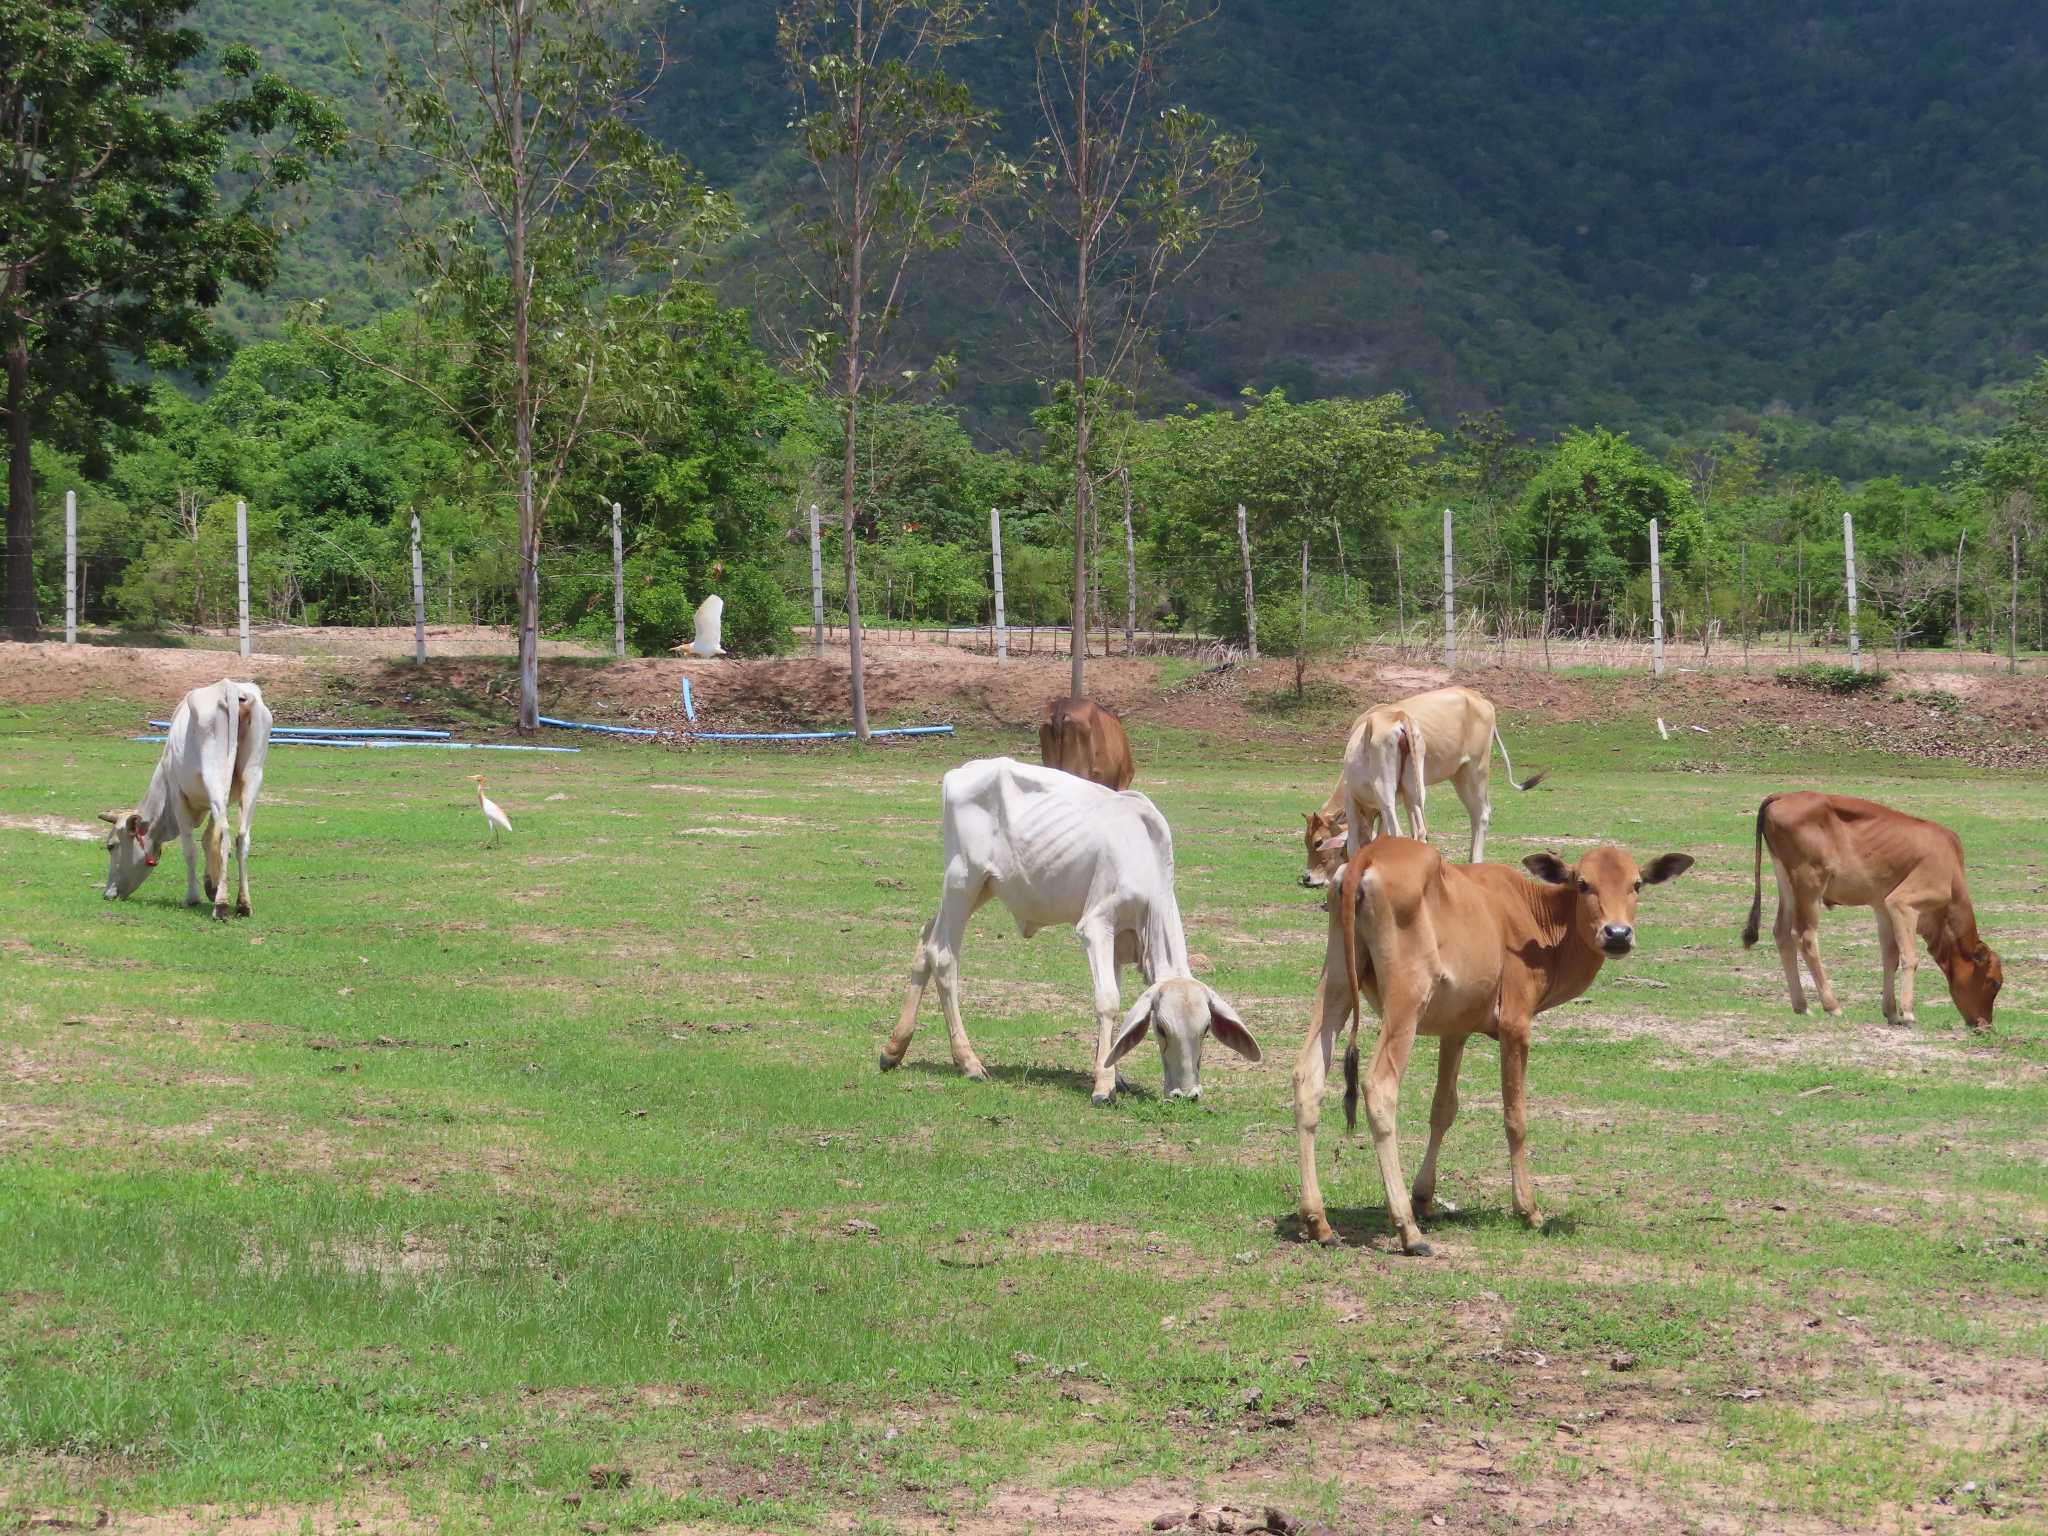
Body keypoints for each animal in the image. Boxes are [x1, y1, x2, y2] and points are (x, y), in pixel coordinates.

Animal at [100, 679, 272, 921]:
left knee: (226, 836)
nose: (108, 894)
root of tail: (230, 688)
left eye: (111, 846)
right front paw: (212, 885)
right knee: (241, 837)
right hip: (253, 776)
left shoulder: (178, 797)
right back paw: (243, 904)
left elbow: (190, 848)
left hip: (215, 775)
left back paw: (221, 906)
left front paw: (193, 897)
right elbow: (209, 839)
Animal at [876, 761, 1253, 1105]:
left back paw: (894, 1048)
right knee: (942, 955)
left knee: (926, 937)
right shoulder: (1096, 925)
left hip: (983, 887)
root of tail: (960, 771)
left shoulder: (1118, 943)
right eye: (1161, 1029)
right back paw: (968, 1062)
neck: (1142, 855)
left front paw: (1115, 1074)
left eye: (1206, 1030)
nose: (1185, 1094)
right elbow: (1107, 1000)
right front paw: (1103, 1085)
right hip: (962, 879)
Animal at [1294, 843, 1695, 1253]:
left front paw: (1424, 1197)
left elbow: (1443, 1108)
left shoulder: (1455, 1029)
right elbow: (1515, 1117)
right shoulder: (1515, 1025)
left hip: (1337, 984)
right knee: (1379, 1087)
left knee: (1308, 1076)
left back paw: (1318, 1221)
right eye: (1583, 883)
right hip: (1406, 999)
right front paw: (1528, 1209)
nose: (1617, 934)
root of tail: (1370, 854)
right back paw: (1408, 1230)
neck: (1536, 920)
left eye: (1637, 884)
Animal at [1302, 688, 1540, 888]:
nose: (1307, 877)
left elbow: (1356, 845)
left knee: (1478, 814)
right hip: (1446, 780)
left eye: (1317, 842)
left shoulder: (1356, 801)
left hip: (1463, 773)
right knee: (1447, 823)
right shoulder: (1400, 801)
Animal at [1736, 794, 2007, 1036]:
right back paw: (1832, 1006)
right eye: (1994, 982)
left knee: (1782, 933)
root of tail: (1782, 796)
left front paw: (1892, 1012)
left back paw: (1801, 1006)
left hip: (1786, 882)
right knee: (1805, 936)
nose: (1985, 1026)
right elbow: (1910, 957)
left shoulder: (1883, 909)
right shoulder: (1903, 903)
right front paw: (1908, 1014)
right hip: (1809, 885)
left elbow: (1890, 957)